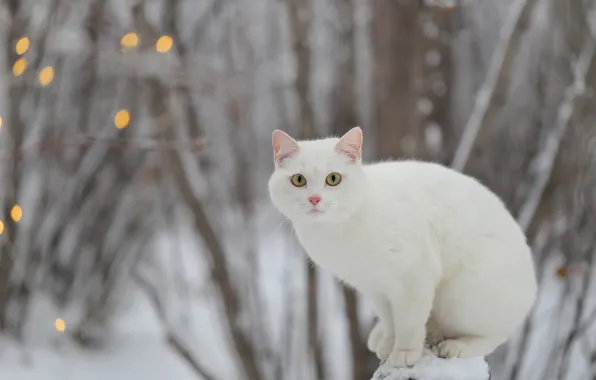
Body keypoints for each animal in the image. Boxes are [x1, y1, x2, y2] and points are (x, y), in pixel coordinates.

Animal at [268, 127, 536, 368]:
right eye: (299, 180)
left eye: (333, 179)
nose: (314, 199)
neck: (337, 232)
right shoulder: (376, 288)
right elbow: (390, 320)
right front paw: (389, 342)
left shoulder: (414, 278)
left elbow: (408, 322)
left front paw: (404, 353)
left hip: (462, 299)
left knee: (493, 337)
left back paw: (456, 346)